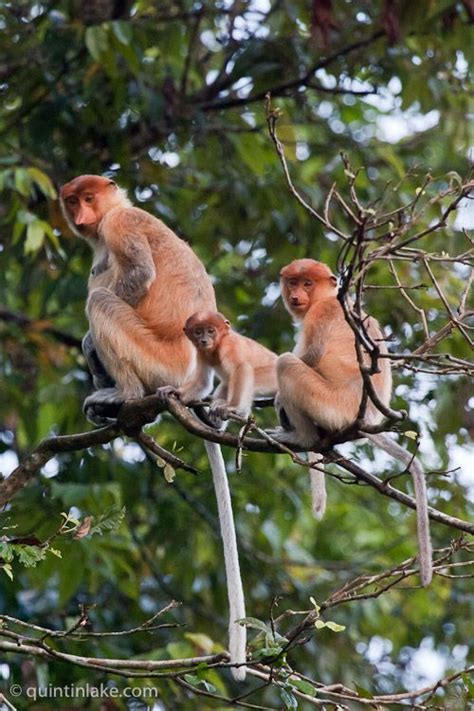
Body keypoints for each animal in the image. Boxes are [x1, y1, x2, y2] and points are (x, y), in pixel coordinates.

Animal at [60, 175, 248, 680]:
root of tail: (190, 376)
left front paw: (90, 345)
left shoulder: (122, 225)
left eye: (90, 198)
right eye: (72, 199)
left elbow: (137, 276)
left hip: (154, 359)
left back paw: (119, 394)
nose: (80, 214)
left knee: (101, 298)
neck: (109, 215)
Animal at [272, 258, 432, 588]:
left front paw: (277, 400)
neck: (329, 297)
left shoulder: (321, 314)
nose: (296, 296)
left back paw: (301, 437)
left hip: (329, 403)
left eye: (308, 283)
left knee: (286, 364)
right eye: (293, 282)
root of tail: (367, 416)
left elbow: (308, 357)